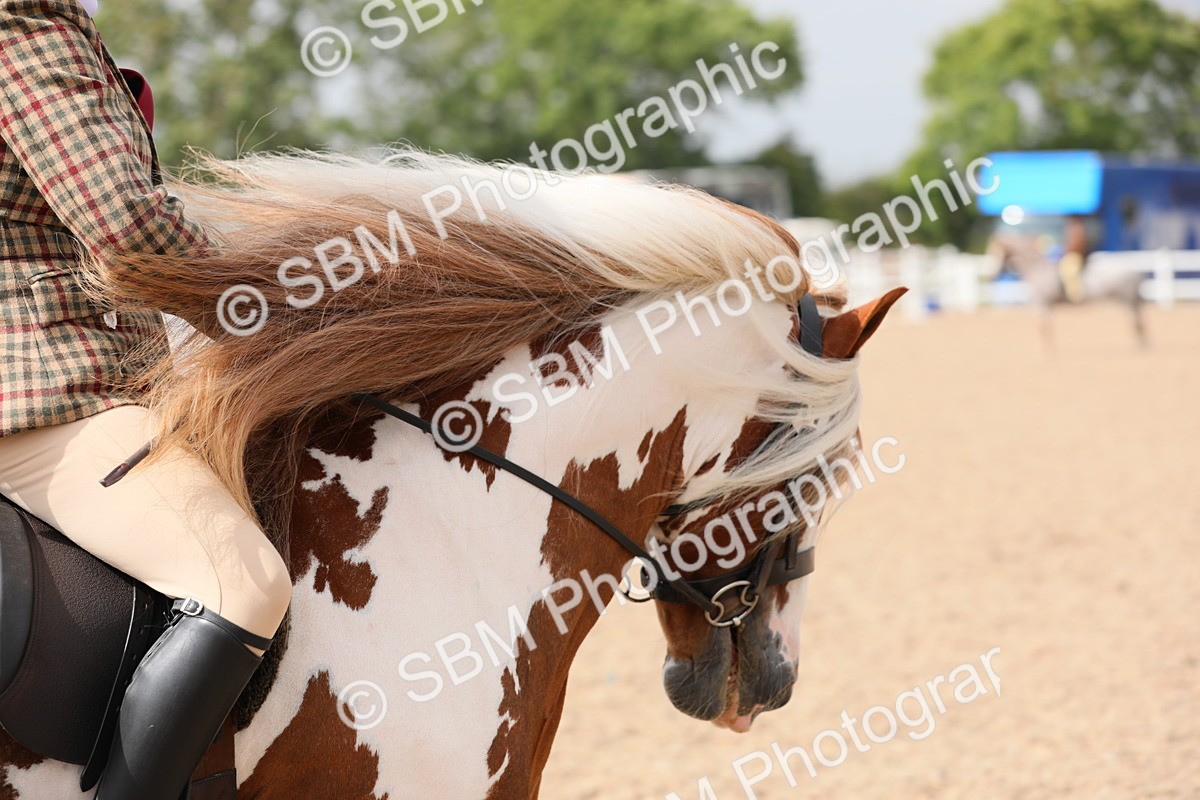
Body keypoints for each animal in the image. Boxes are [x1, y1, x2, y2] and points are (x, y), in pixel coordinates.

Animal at [987, 232, 1146, 347]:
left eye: (998, 253)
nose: (991, 275)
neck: (1038, 269)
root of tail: (1135, 272)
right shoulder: (1044, 305)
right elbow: (1046, 327)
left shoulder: (1041, 303)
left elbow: (1043, 328)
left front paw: (1047, 354)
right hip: (1127, 300)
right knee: (1137, 322)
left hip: (1127, 299)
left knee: (1136, 322)